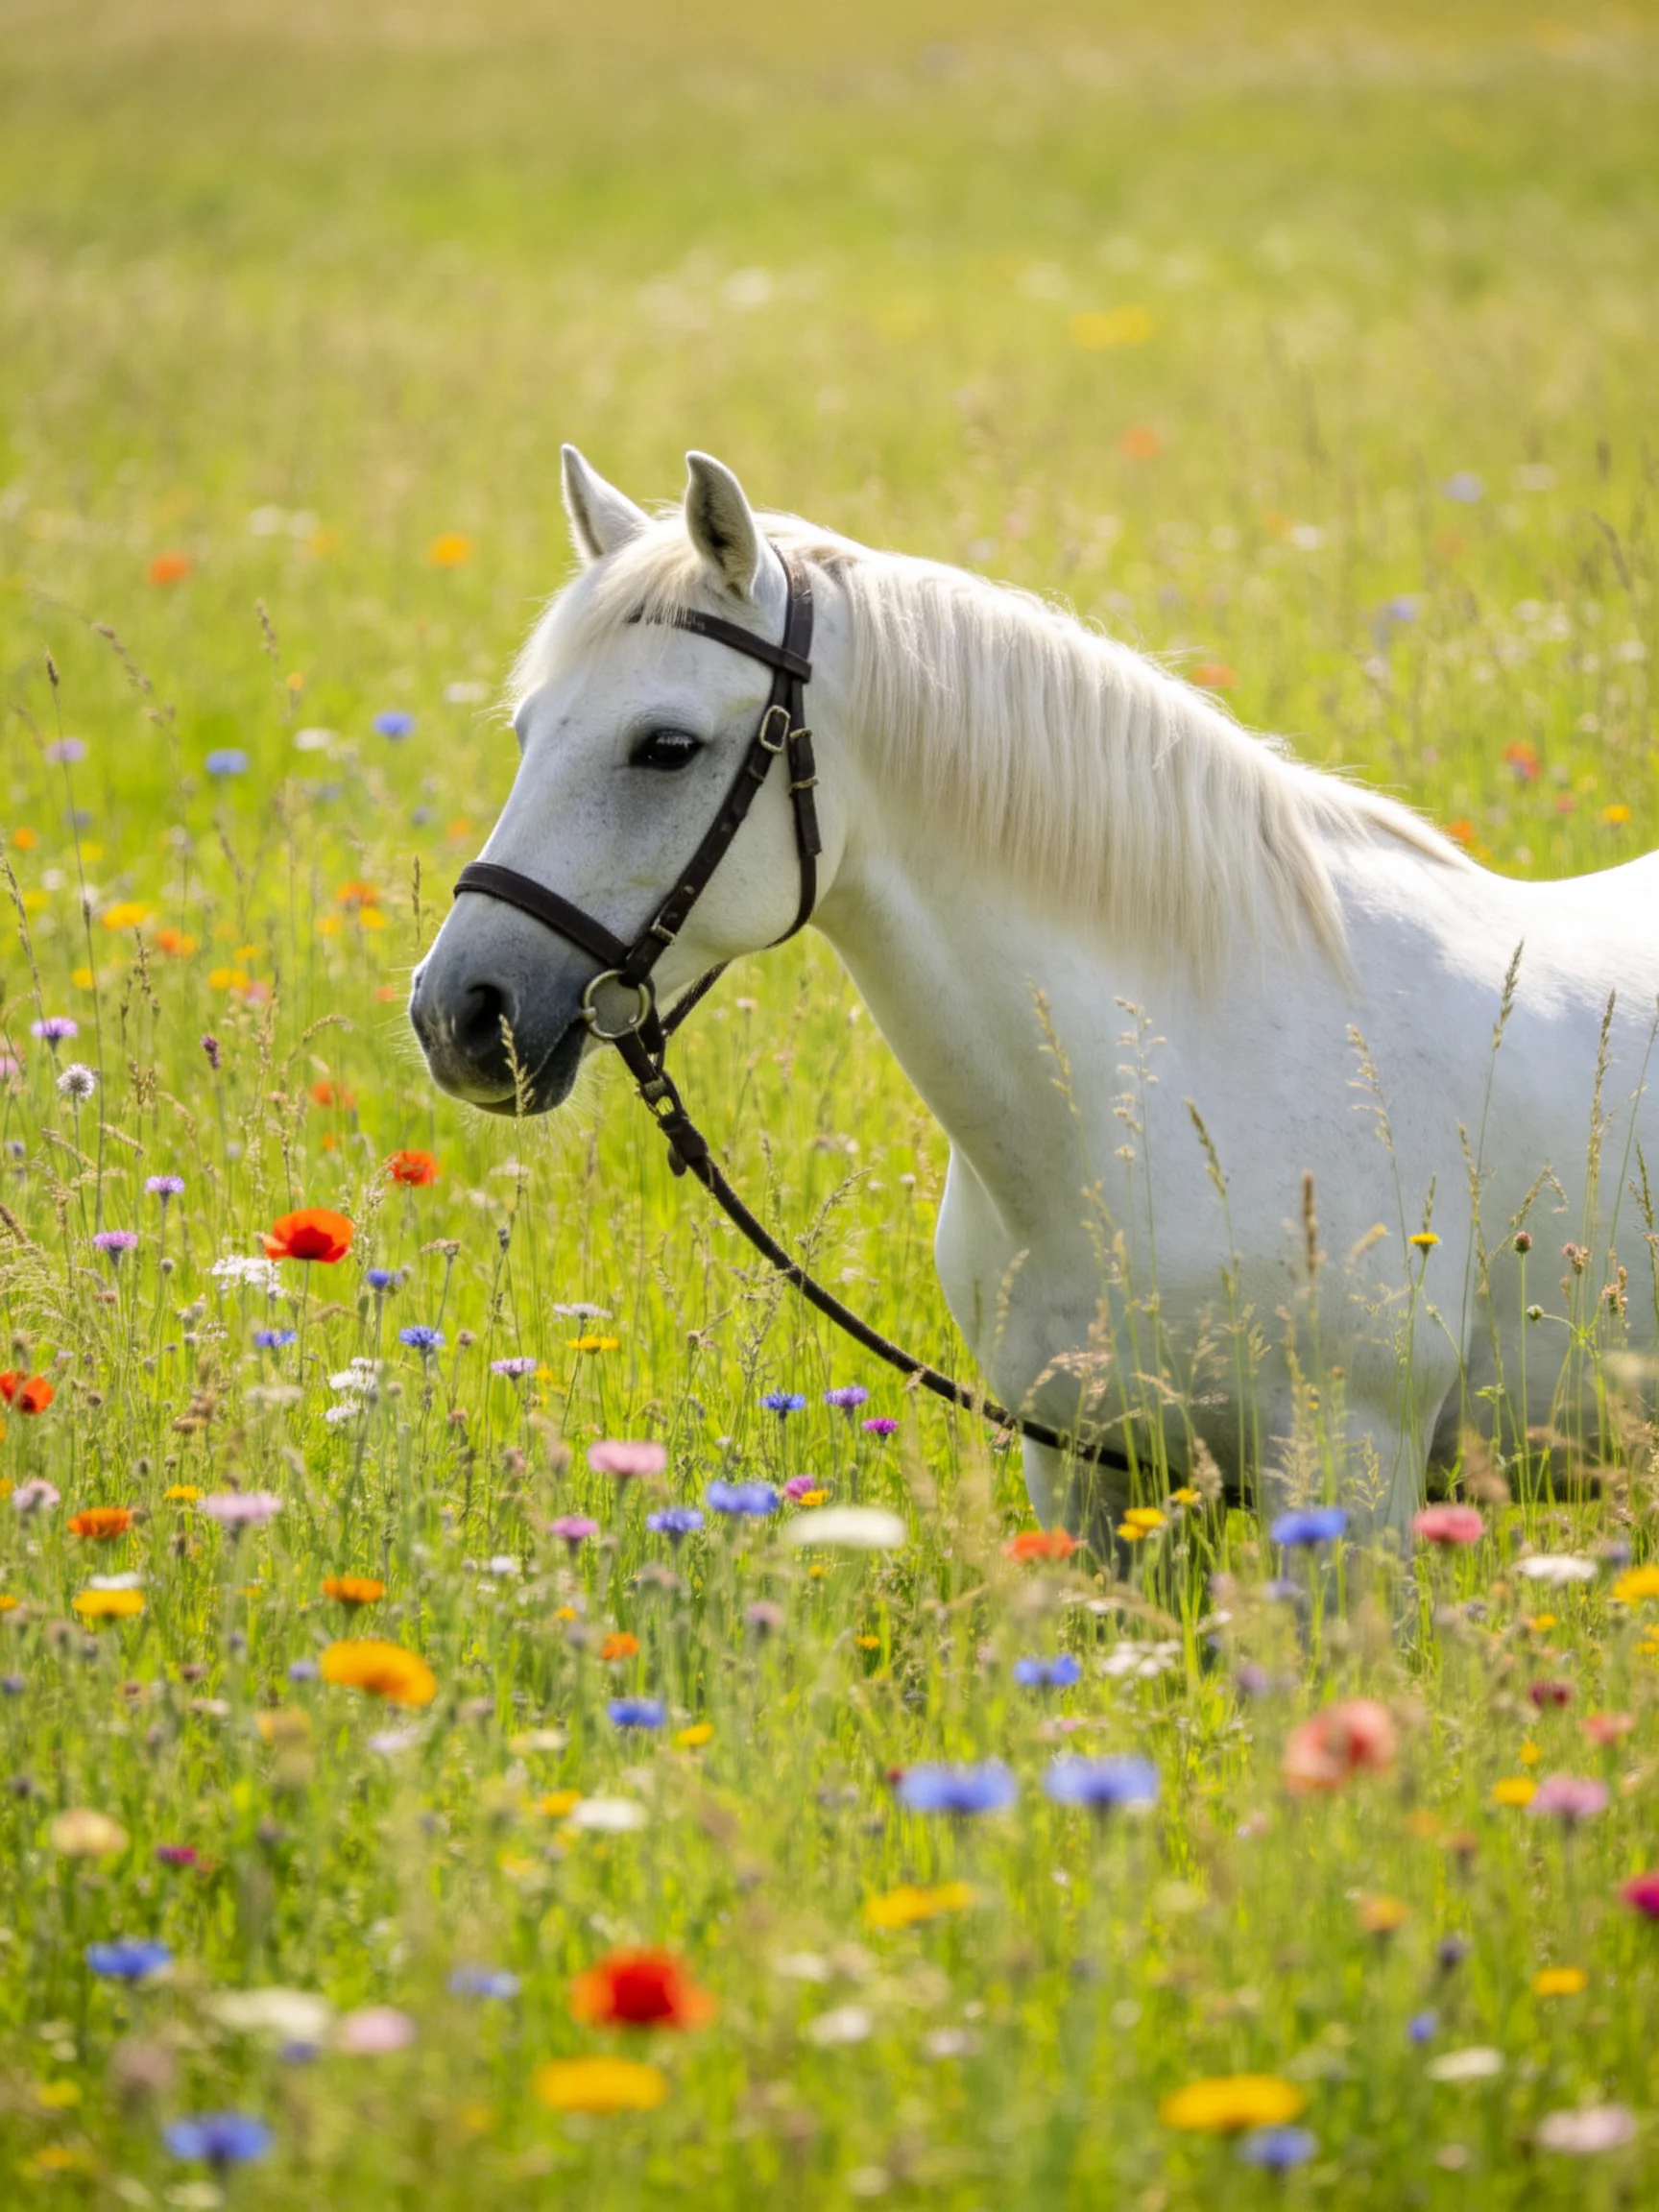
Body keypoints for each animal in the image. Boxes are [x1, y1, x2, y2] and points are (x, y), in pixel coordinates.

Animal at [409, 446, 1659, 1546]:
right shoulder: (1090, 1477)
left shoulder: (1351, 1479)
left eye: (665, 747)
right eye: (527, 731)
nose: (458, 1014)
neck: (1173, 1086)